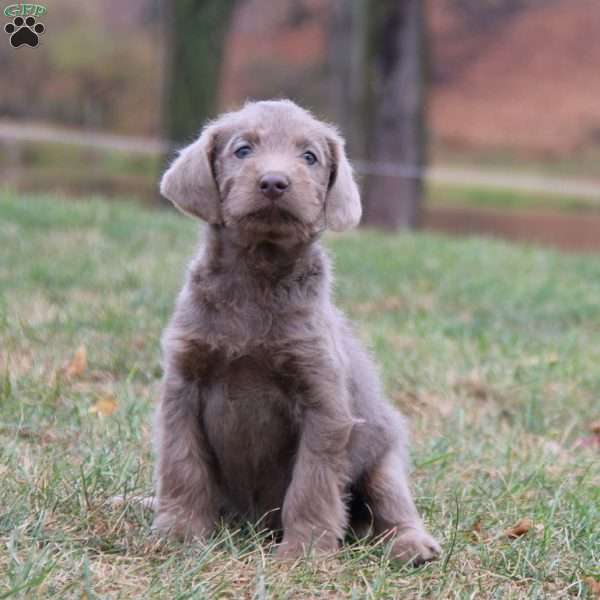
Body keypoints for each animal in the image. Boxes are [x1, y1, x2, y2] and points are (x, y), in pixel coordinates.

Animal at [152, 98, 438, 564]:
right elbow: (182, 465)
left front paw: (304, 551)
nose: (274, 182)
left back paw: (412, 545)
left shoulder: (324, 403)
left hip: (385, 454)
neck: (257, 281)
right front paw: (179, 532)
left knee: (393, 505)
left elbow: (312, 483)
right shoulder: (183, 386)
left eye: (309, 157)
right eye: (243, 150)